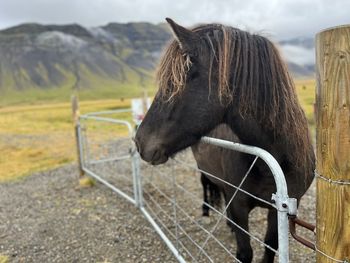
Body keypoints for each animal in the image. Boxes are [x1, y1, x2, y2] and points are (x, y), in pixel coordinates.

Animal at [134, 18, 314, 263]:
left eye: (180, 80)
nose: (139, 142)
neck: (272, 161)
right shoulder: (239, 206)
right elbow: (244, 252)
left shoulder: (280, 209)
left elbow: (270, 246)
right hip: (204, 170)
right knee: (206, 185)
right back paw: (207, 212)